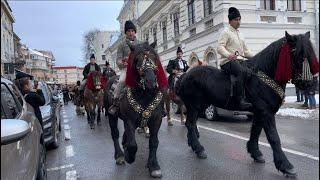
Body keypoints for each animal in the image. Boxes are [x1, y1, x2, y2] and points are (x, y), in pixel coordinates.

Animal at [104, 42, 165, 179]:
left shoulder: (156, 120)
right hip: (111, 116)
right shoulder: (129, 120)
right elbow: (133, 144)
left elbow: (154, 142)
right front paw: (129, 156)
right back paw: (120, 155)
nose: (150, 82)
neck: (145, 95)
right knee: (115, 134)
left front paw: (154, 166)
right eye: (137, 59)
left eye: (154, 58)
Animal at [176, 31, 318, 177]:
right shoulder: (266, 112)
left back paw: (193, 145)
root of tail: (184, 76)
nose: (309, 83)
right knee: (190, 124)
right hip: (194, 106)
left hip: (200, 106)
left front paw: (255, 153)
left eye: (311, 53)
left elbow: (255, 131)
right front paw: (286, 166)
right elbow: (273, 138)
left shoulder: (259, 112)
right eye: (295, 52)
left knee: (191, 124)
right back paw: (199, 149)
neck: (264, 76)